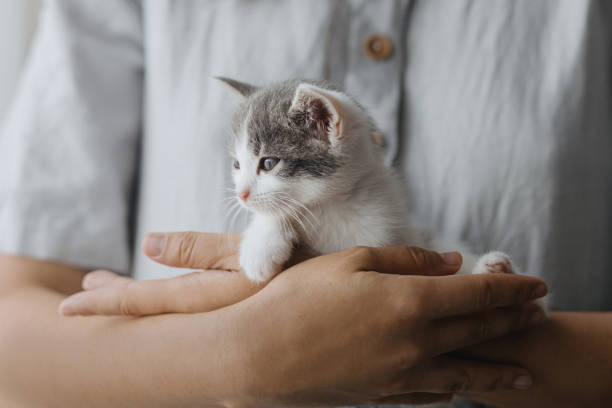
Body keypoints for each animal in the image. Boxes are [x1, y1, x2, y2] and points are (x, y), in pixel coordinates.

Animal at [220, 76, 524, 286]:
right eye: (237, 164)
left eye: (268, 163)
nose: (241, 194)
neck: (331, 206)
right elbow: (276, 212)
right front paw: (261, 247)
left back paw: (496, 268)